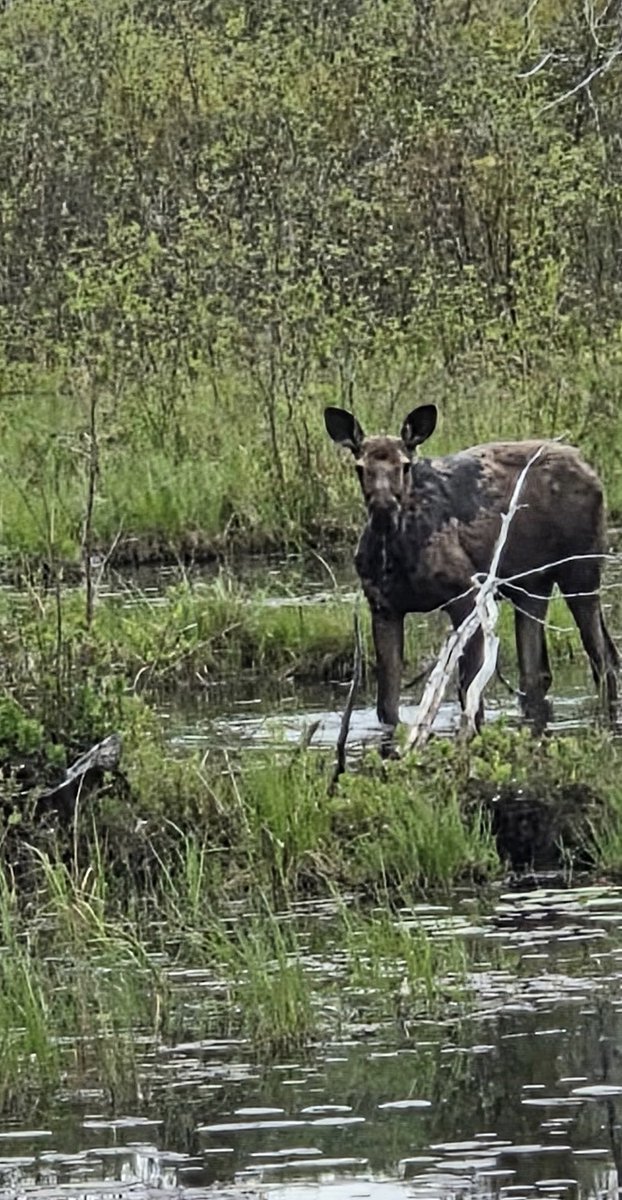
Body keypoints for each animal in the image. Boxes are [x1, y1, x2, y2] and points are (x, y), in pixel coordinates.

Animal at [324, 403, 618, 736]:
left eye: (405, 466)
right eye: (360, 467)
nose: (384, 507)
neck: (395, 551)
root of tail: (588, 465)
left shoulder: (466, 595)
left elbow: (469, 695)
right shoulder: (383, 607)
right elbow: (387, 706)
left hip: (581, 571)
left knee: (604, 660)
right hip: (532, 587)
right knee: (538, 673)